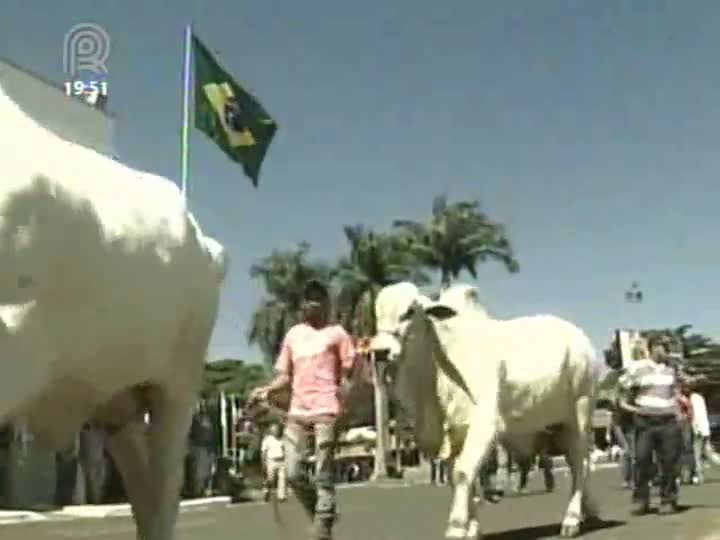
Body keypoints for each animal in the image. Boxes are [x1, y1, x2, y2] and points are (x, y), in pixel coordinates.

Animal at [374, 282, 600, 540]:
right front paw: (472, 528)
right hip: (556, 425)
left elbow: (462, 473)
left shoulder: (485, 425)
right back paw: (587, 512)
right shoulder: (454, 436)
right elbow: (460, 479)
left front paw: (456, 527)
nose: (379, 351)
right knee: (577, 463)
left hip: (580, 413)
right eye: (376, 313)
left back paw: (571, 519)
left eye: (409, 312)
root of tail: (579, 336)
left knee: (580, 463)